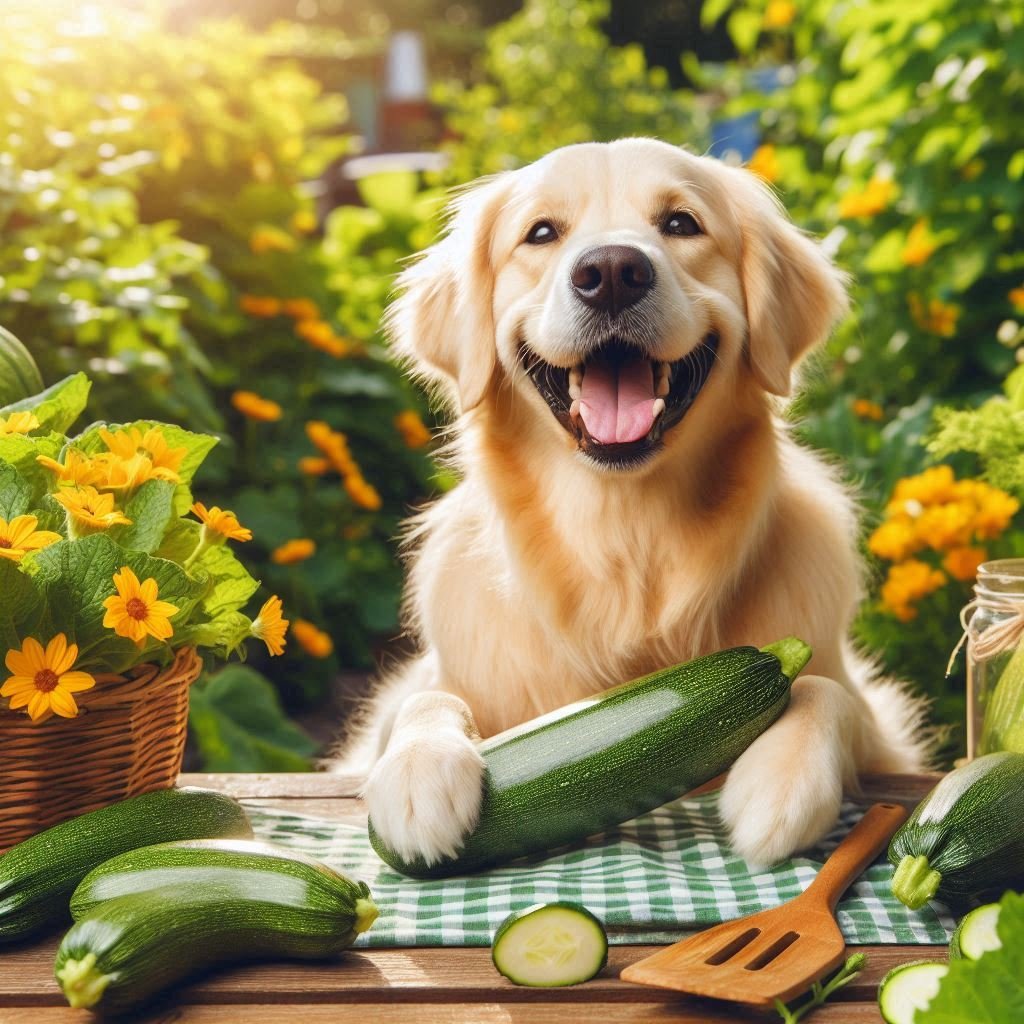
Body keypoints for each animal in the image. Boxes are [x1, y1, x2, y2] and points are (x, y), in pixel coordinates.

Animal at [333, 136, 929, 868]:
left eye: (680, 223)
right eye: (541, 233)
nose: (612, 271)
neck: (623, 534)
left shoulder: (874, 721)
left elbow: (824, 688)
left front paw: (780, 779)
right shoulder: (422, 689)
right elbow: (424, 701)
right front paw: (420, 774)